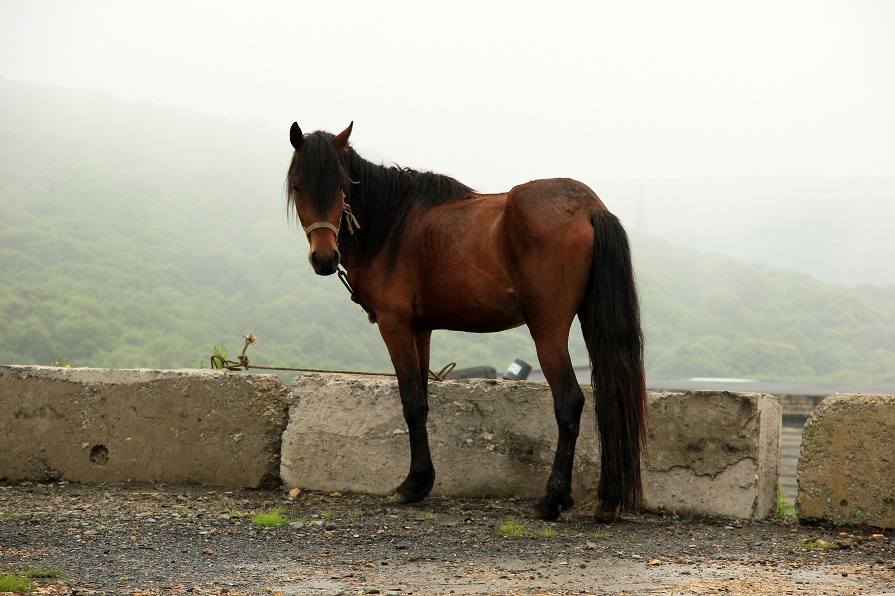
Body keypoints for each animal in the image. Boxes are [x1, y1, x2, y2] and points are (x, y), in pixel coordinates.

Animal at [286, 122, 644, 520]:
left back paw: (552, 499)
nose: (324, 258)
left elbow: (410, 401)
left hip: (547, 330)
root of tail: (587, 208)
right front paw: (421, 481)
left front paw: (410, 485)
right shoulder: (420, 330)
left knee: (569, 401)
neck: (393, 225)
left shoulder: (395, 325)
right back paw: (608, 498)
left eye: (341, 186)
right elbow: (422, 401)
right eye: (298, 186)